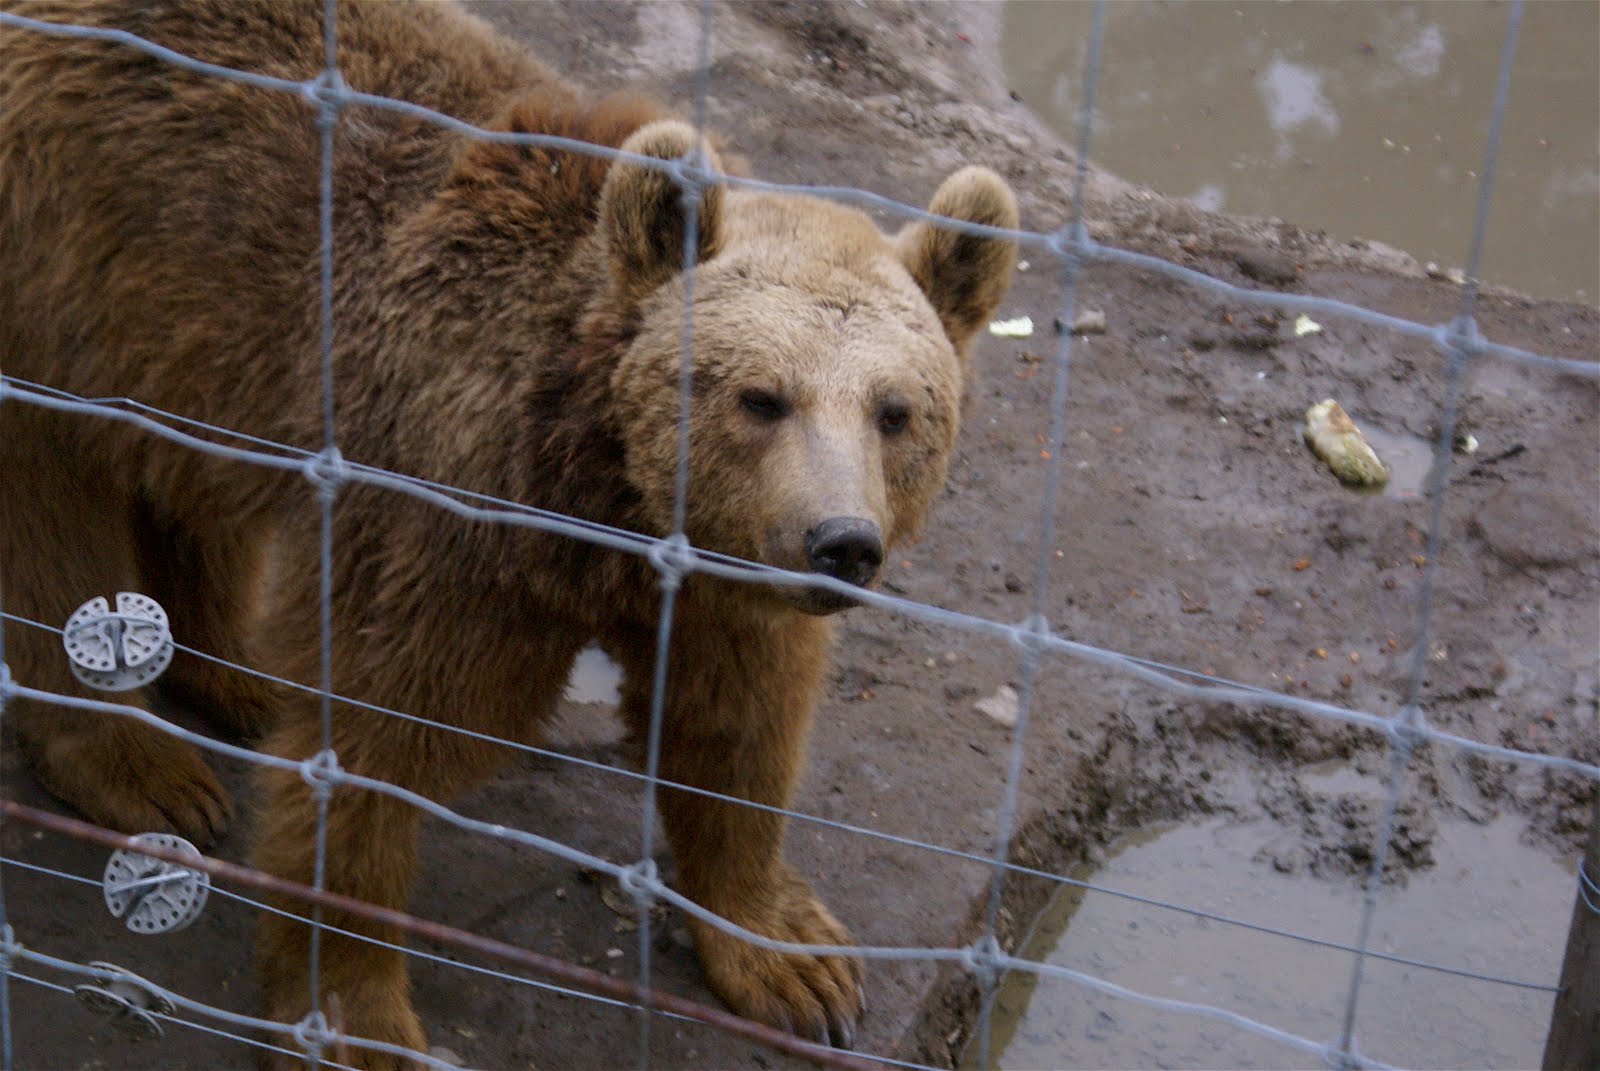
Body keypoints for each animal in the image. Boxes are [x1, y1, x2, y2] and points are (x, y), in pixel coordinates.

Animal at [0, 0, 1018, 1065]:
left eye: (896, 411)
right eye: (761, 397)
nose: (842, 543)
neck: (605, 499)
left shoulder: (723, 577)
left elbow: (735, 724)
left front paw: (794, 956)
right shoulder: (451, 505)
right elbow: (384, 734)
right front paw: (358, 1013)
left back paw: (235, 673)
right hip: (56, 259)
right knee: (50, 502)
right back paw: (141, 766)